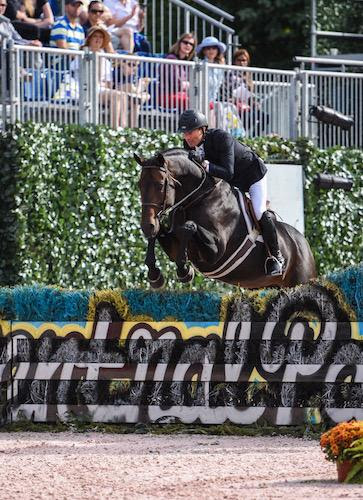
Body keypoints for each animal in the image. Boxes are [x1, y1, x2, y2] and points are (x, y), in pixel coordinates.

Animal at [135, 147, 318, 290]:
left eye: (160, 185)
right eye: (139, 185)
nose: (147, 225)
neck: (197, 198)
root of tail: (304, 242)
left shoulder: (215, 252)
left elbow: (189, 227)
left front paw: (184, 271)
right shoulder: (174, 244)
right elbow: (162, 233)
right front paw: (155, 275)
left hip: (300, 282)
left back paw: (276, 263)